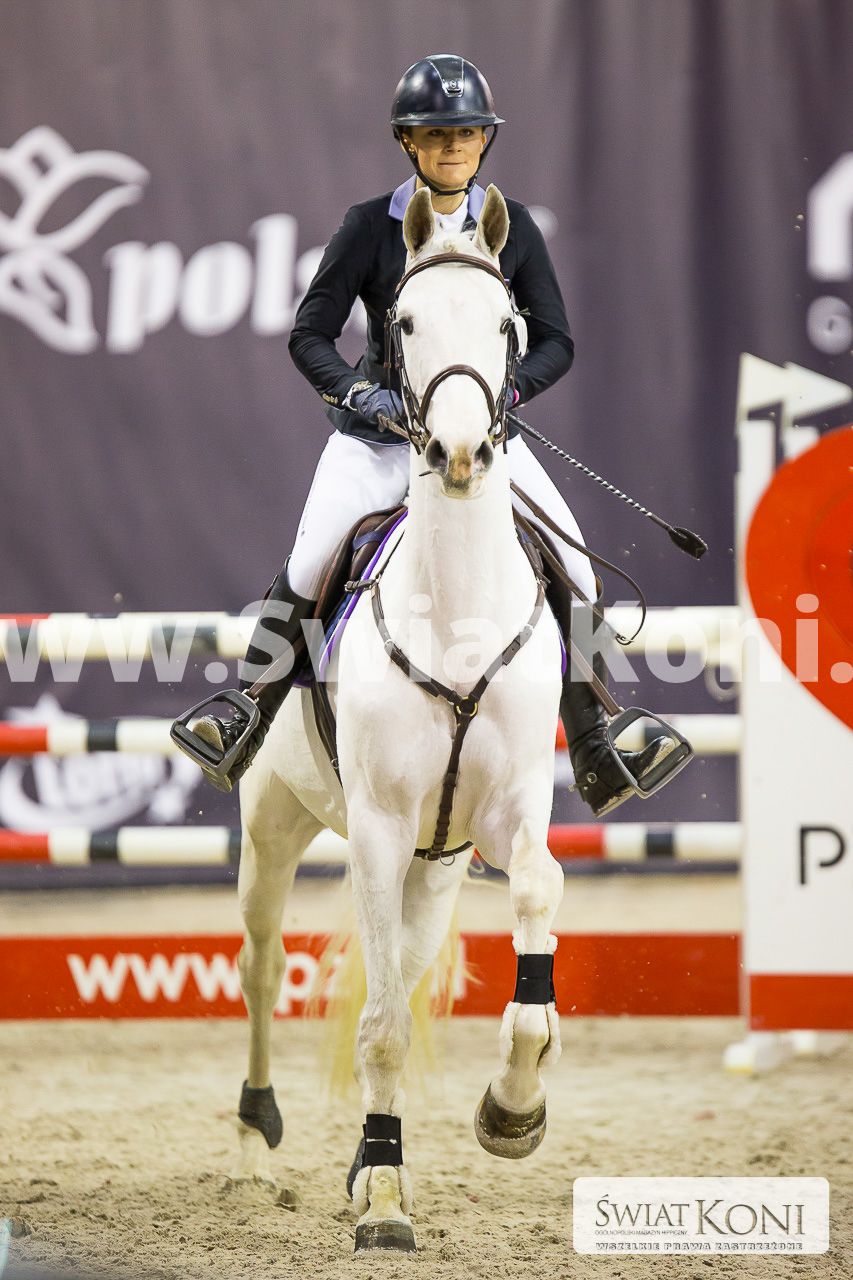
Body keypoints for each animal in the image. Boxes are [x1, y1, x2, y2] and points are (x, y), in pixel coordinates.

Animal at [234, 184, 566, 1253]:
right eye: (405, 323)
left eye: (505, 324)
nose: (459, 453)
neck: (454, 611)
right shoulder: (377, 831)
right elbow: (378, 1026)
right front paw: (382, 1199)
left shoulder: (506, 817)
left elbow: (535, 907)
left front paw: (511, 1111)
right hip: (275, 825)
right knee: (263, 964)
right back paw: (256, 1143)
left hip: (439, 863)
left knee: (404, 970)